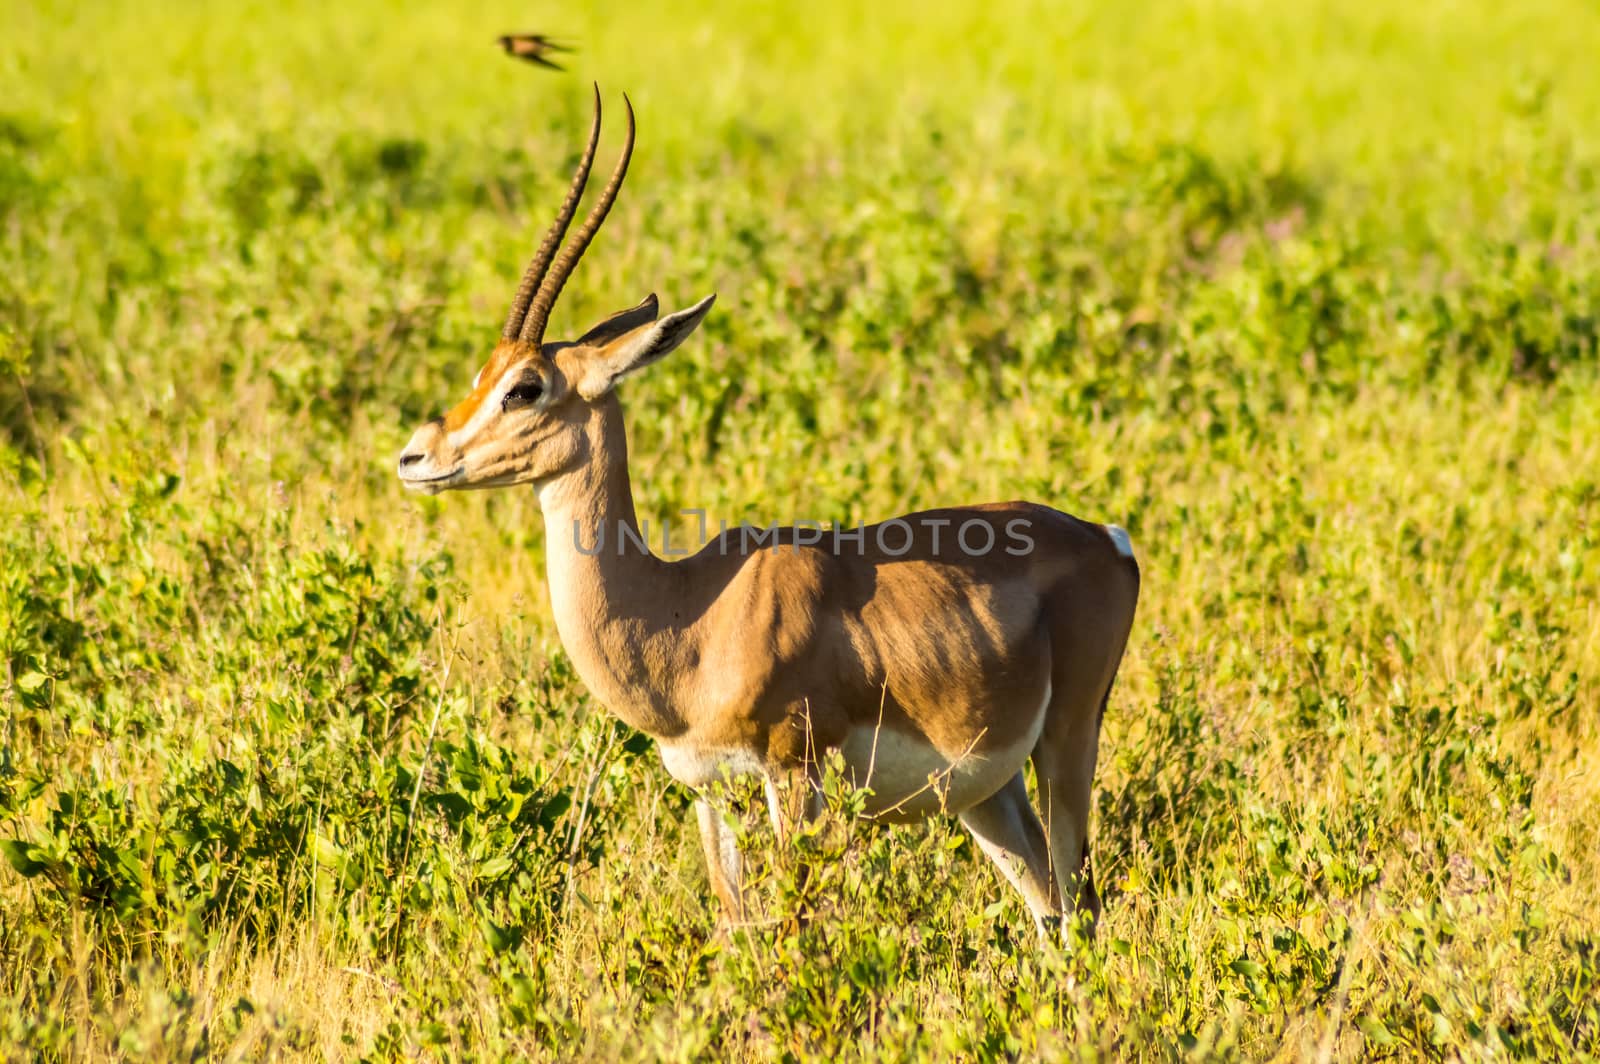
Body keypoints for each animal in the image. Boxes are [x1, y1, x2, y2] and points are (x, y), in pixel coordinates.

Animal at [398, 89, 1139, 940]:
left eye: (525, 386)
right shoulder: (706, 787)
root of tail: (1106, 538)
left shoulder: (794, 775)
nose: (416, 455)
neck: (689, 618)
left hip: (1067, 743)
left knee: (1083, 903)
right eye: (481, 373)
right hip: (987, 789)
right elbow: (733, 919)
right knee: (1052, 912)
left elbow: (794, 922)